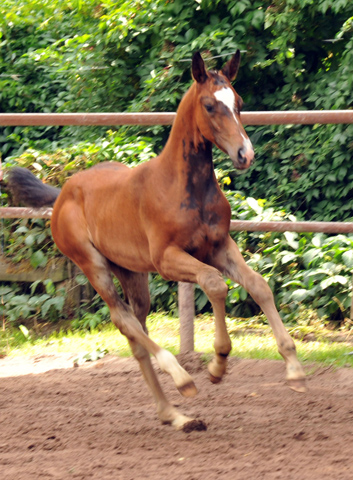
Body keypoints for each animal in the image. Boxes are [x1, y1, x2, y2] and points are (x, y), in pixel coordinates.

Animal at [8, 51, 306, 432]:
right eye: (209, 105)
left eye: (238, 103)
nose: (245, 154)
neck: (185, 187)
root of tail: (63, 194)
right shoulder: (167, 259)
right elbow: (215, 284)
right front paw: (217, 364)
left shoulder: (220, 247)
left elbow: (258, 285)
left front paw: (294, 370)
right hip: (93, 265)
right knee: (124, 320)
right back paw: (181, 379)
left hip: (131, 271)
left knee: (135, 330)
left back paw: (175, 415)